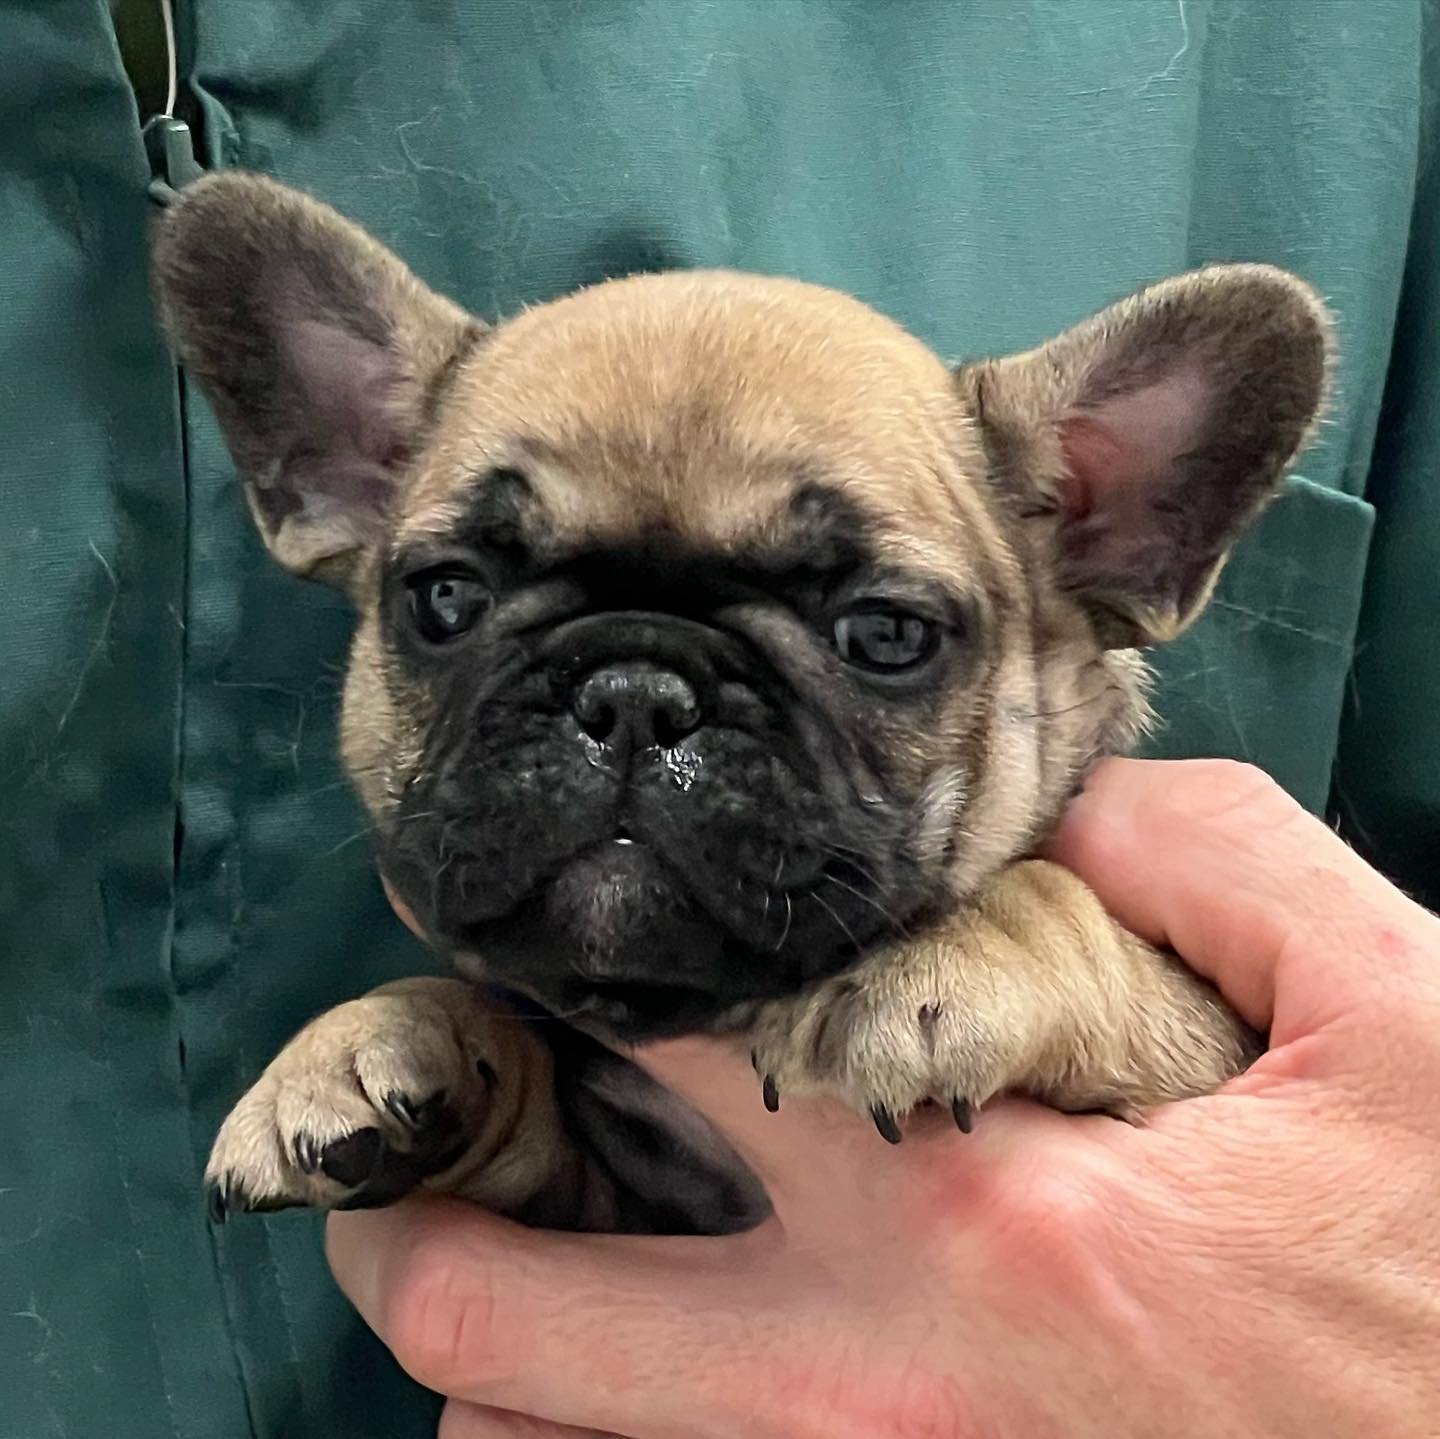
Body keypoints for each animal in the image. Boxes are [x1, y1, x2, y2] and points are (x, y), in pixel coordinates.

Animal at [151, 171, 1330, 1238]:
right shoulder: (617, 1206)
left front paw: (948, 953)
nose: (632, 692)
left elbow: (1057, 898)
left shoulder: (1207, 1043)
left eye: (886, 634)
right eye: (445, 597)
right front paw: (375, 1035)